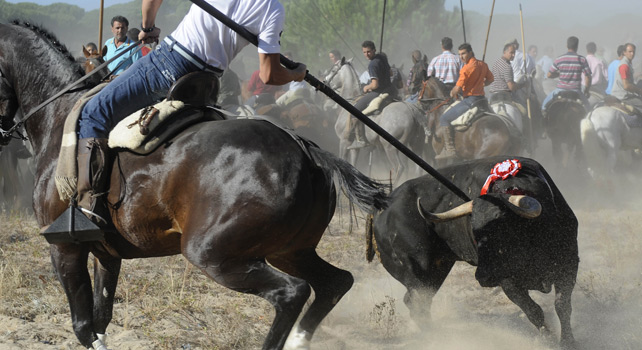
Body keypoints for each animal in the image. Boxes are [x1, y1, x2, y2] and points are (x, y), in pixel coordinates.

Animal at [0, 21, 384, 350]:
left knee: (292, 293)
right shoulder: (106, 254)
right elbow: (101, 318)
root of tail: (304, 149)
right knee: (335, 283)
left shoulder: (65, 249)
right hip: (289, 250)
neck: (58, 116)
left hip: (214, 254)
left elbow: (84, 328)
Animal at [364, 157, 580, 348]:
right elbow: (534, 311)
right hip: (418, 272)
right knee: (417, 304)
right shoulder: (507, 281)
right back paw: (435, 337)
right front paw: (549, 341)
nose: (482, 277)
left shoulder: (568, 264)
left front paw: (568, 342)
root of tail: (379, 209)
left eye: (503, 228)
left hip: (436, 271)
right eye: (475, 233)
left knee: (416, 303)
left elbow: (562, 306)